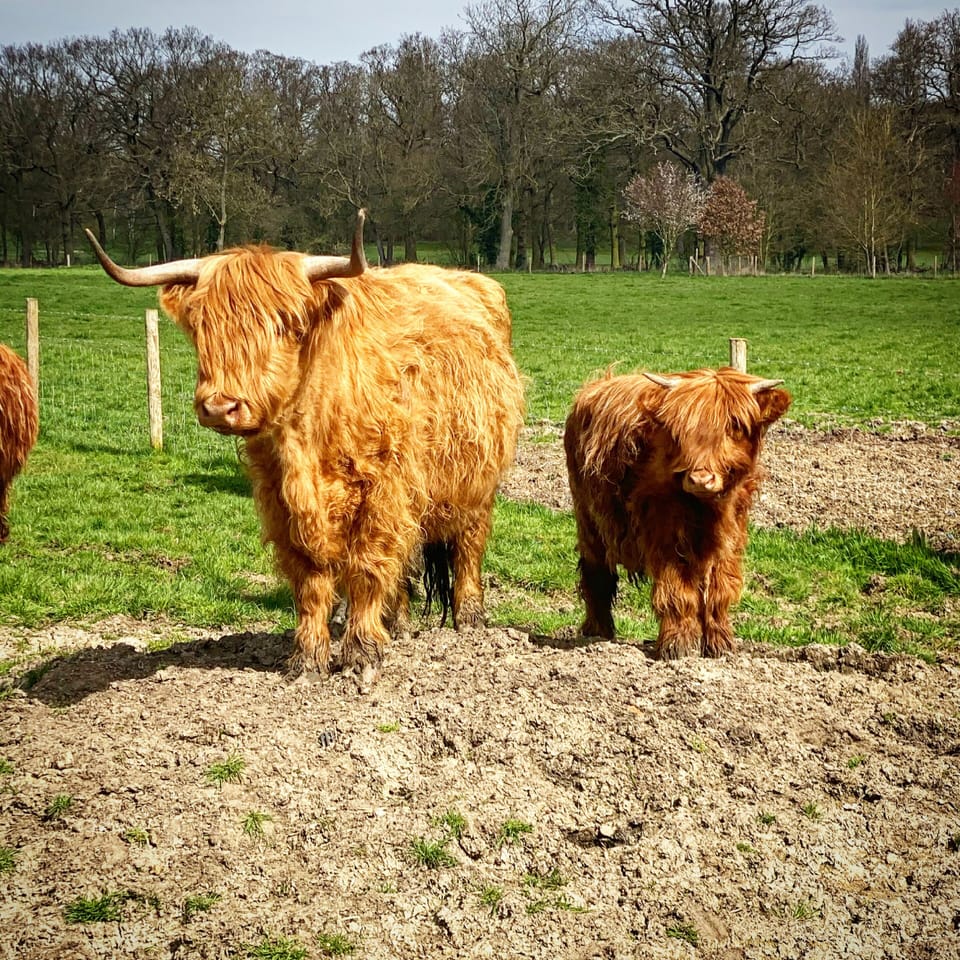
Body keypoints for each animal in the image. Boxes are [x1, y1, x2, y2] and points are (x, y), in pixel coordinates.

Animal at [86, 211, 525, 688]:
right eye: (203, 326)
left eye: (284, 323)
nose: (220, 406)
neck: (304, 444)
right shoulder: (281, 503)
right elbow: (311, 583)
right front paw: (308, 660)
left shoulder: (382, 494)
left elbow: (368, 569)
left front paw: (362, 654)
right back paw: (399, 623)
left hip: (475, 485)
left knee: (467, 547)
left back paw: (470, 621)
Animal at [564, 366, 790, 660]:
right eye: (680, 431)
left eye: (734, 426)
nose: (700, 479)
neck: (706, 509)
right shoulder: (664, 531)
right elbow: (676, 588)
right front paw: (676, 645)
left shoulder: (731, 533)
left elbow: (720, 587)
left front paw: (721, 644)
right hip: (589, 520)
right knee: (597, 576)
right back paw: (598, 633)